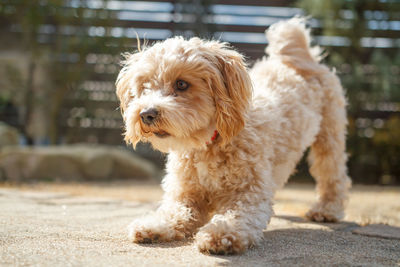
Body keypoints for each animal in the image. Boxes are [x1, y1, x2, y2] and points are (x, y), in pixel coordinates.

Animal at [115, 17, 350, 255]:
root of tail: (300, 59)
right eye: (145, 86)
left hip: (329, 136)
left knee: (333, 175)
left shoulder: (249, 191)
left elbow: (237, 216)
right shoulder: (185, 194)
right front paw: (154, 225)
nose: (146, 114)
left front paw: (221, 234)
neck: (208, 143)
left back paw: (327, 210)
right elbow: (175, 212)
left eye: (182, 84)